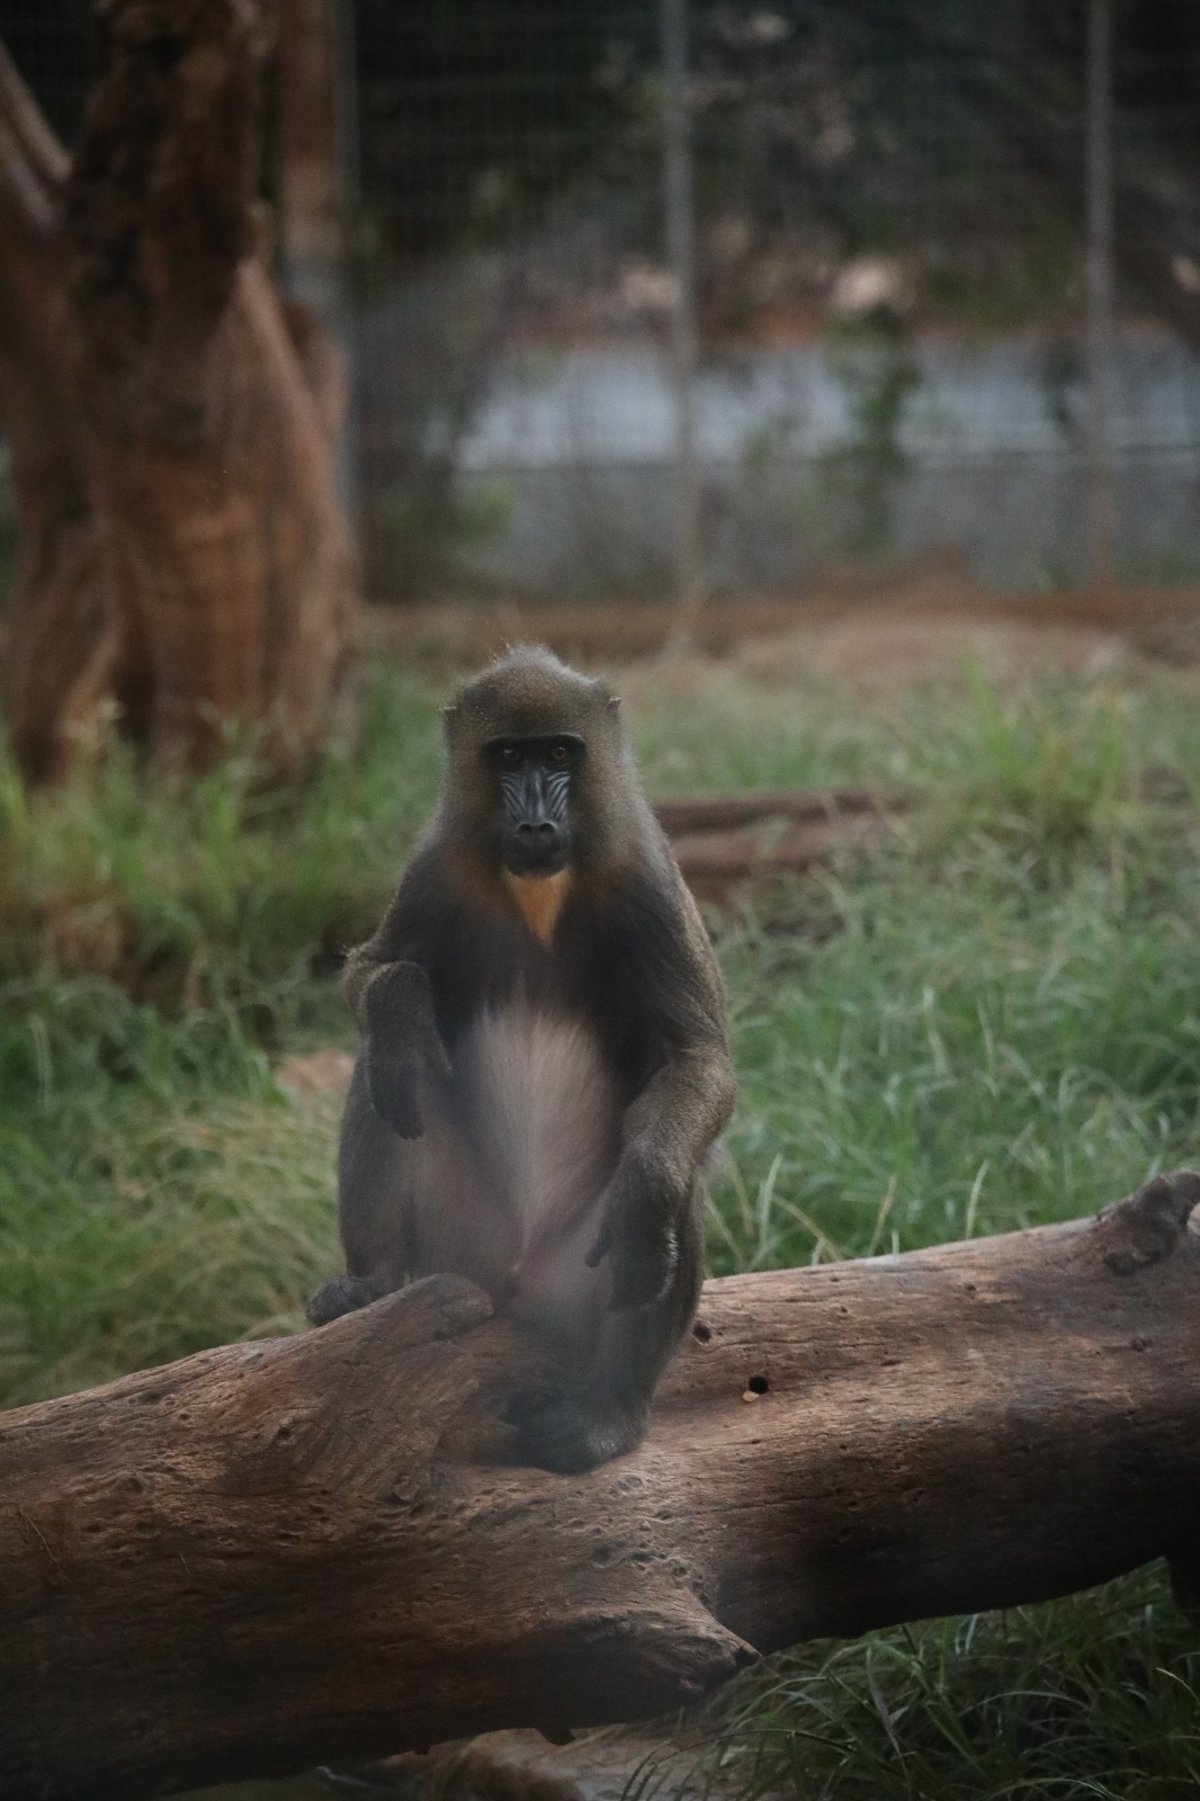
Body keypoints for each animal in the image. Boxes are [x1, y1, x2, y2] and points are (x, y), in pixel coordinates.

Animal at [308, 641, 735, 1469]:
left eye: (559, 754)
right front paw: (402, 1005)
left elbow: (699, 1062)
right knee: (385, 1078)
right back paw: (369, 1287)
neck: (540, 893)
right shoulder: (435, 869)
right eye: (507, 756)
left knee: (675, 1174)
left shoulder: (650, 887)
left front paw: (647, 1192)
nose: (535, 817)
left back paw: (607, 1413)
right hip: (459, 1246)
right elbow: (369, 974)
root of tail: (517, 1276)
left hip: (578, 1276)